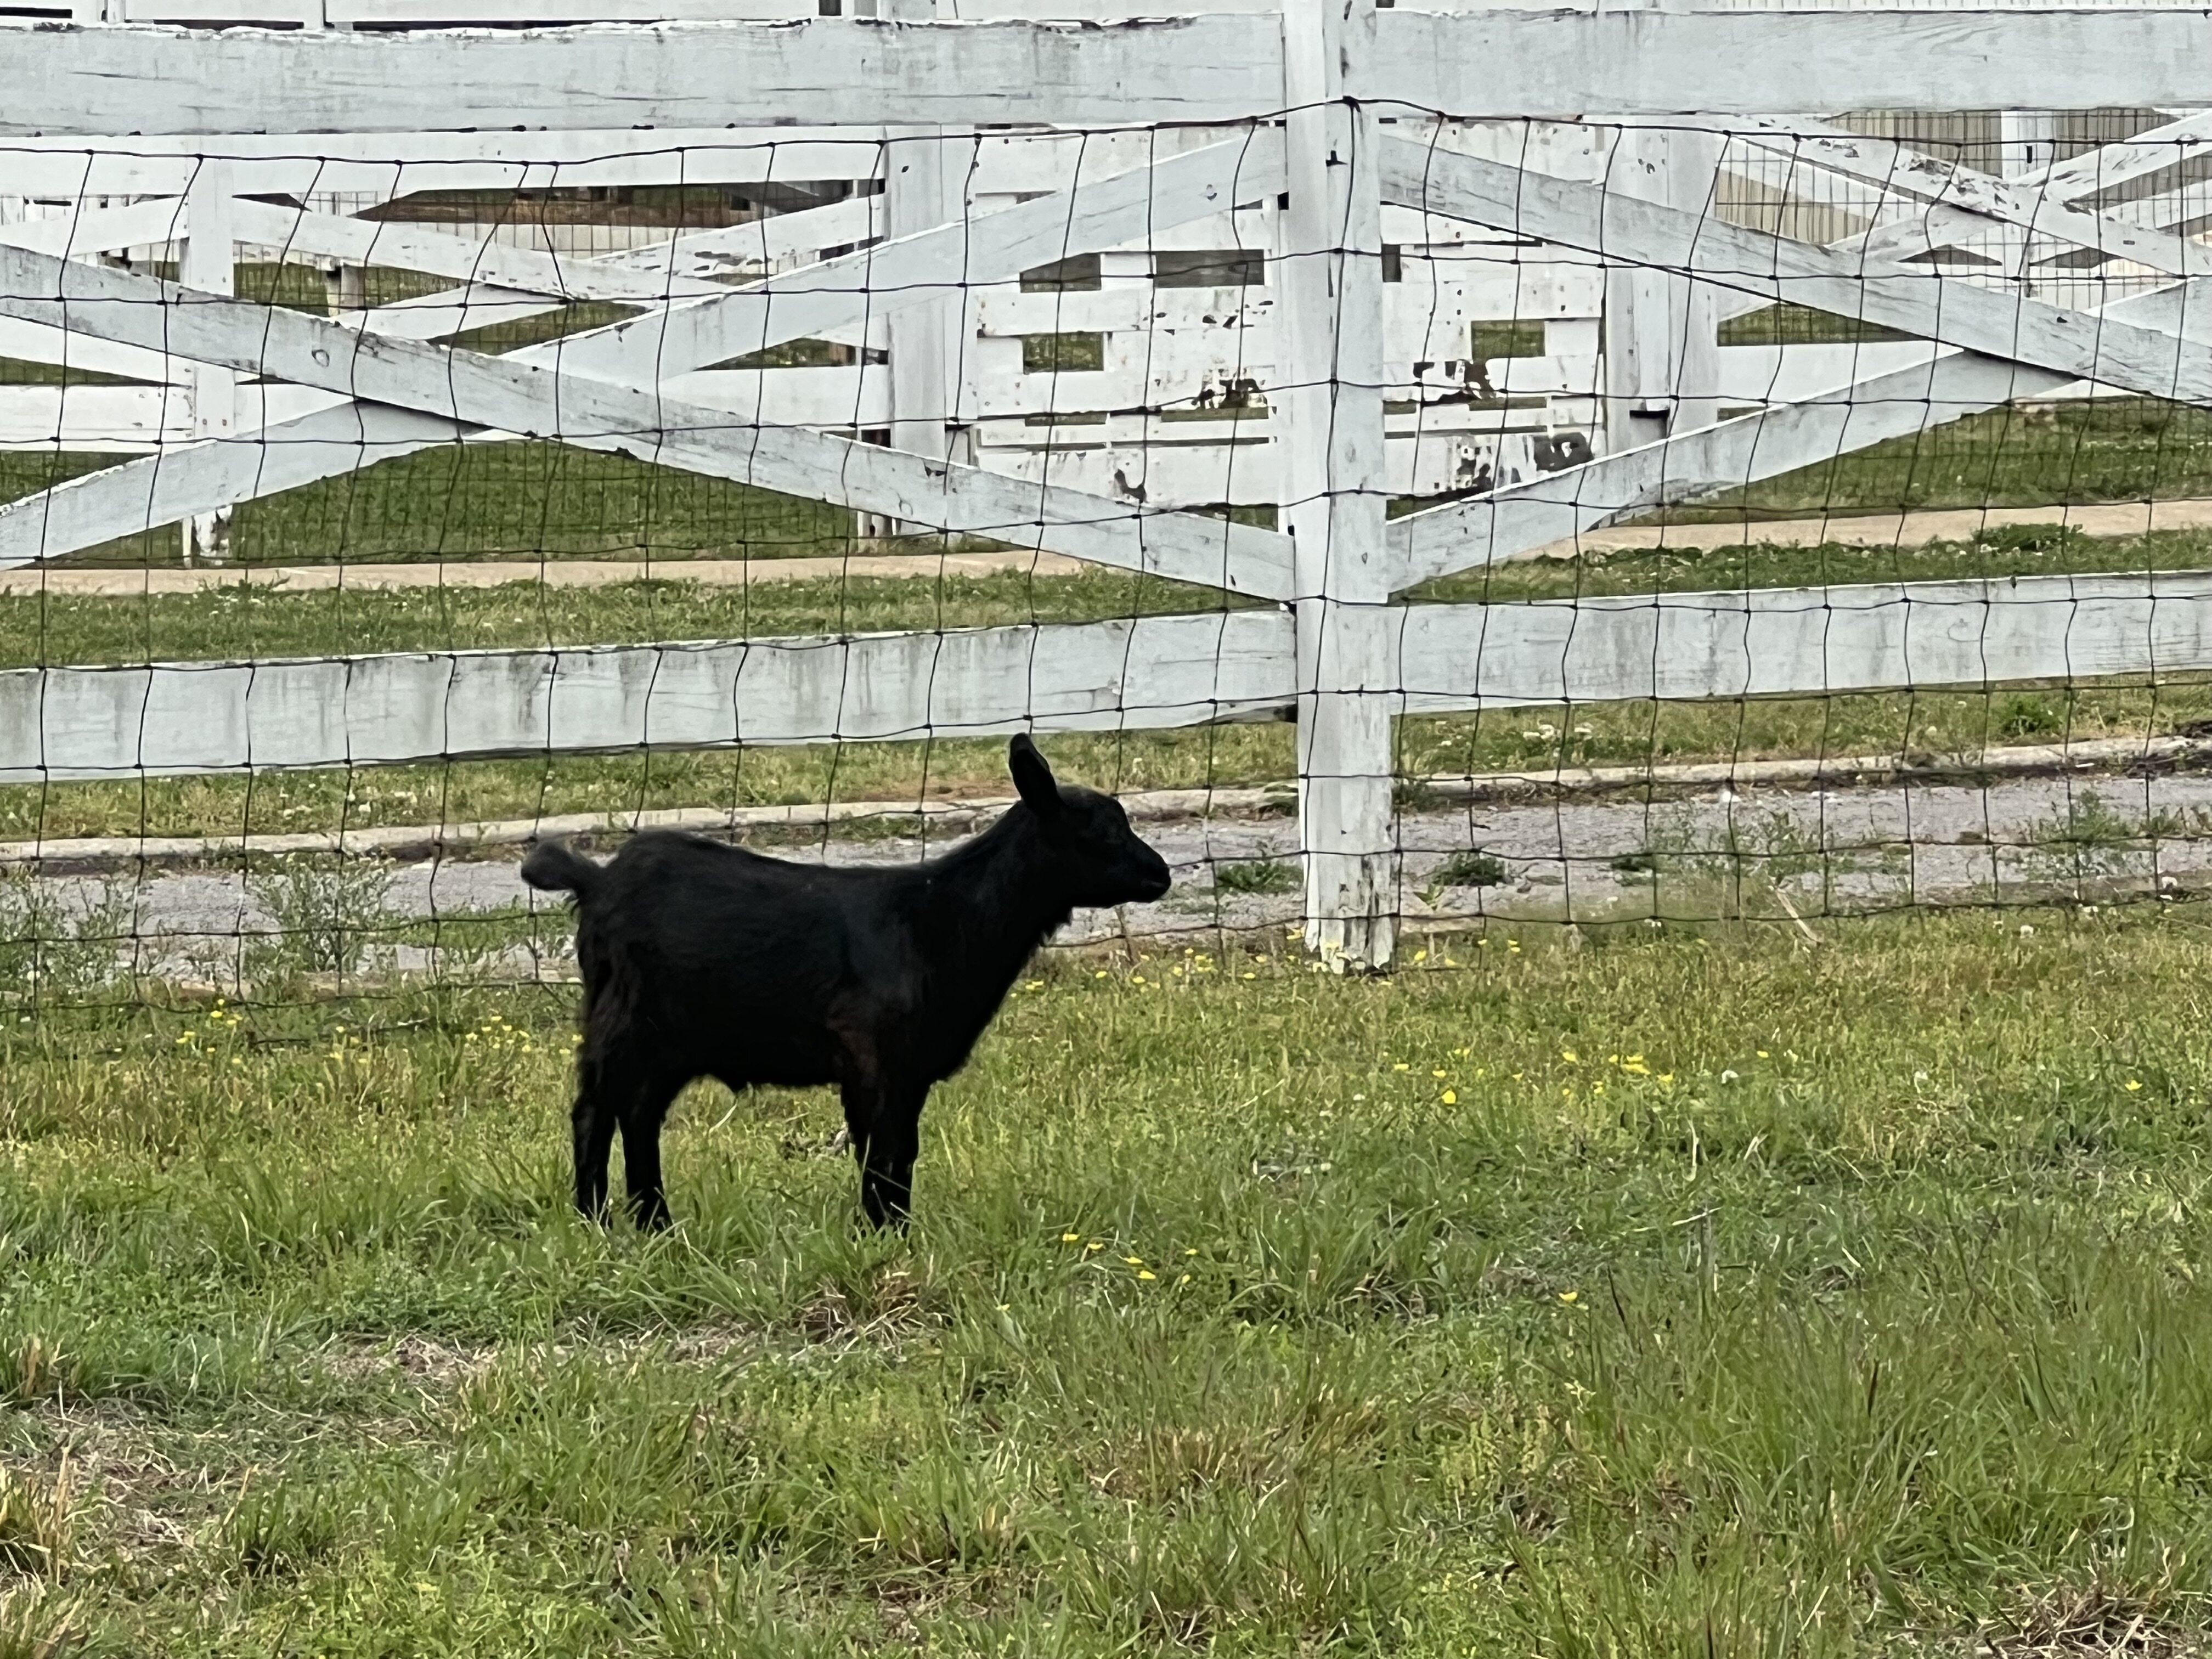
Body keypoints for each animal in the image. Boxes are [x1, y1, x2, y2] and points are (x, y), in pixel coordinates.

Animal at [520, 735, 1172, 1230]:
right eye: (1103, 832)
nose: (1161, 875)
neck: (944, 918)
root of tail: (597, 881)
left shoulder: (902, 1071)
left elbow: (894, 1155)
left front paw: (888, 1232)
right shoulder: (875, 1056)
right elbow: (885, 1153)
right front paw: (886, 1234)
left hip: (673, 1039)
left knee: (639, 1115)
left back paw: (655, 1223)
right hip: (625, 1021)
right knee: (595, 1112)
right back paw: (597, 1221)